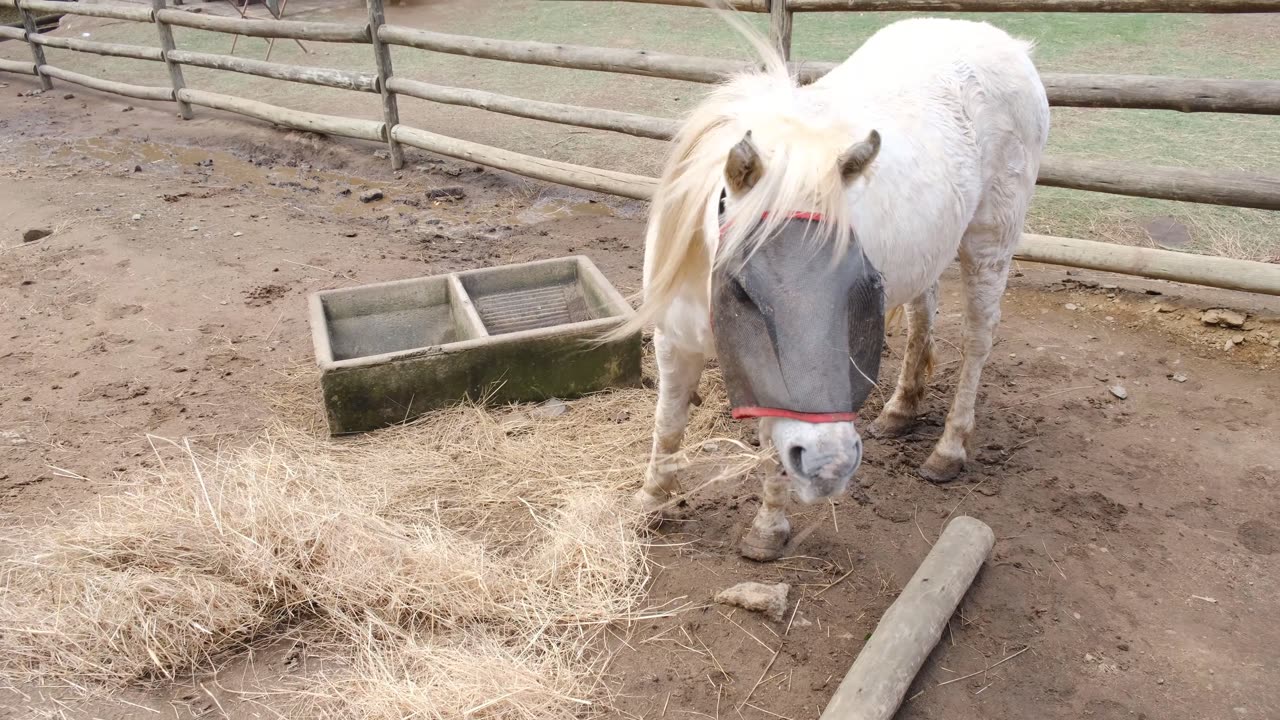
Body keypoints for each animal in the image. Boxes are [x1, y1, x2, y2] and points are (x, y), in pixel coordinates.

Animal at [606, 14, 1039, 558]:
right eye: (747, 289)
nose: (831, 465)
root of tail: (1008, 44)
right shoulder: (674, 339)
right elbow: (666, 423)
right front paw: (651, 503)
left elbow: (770, 453)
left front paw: (767, 530)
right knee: (924, 314)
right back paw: (900, 410)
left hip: (990, 241)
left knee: (978, 340)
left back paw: (949, 450)